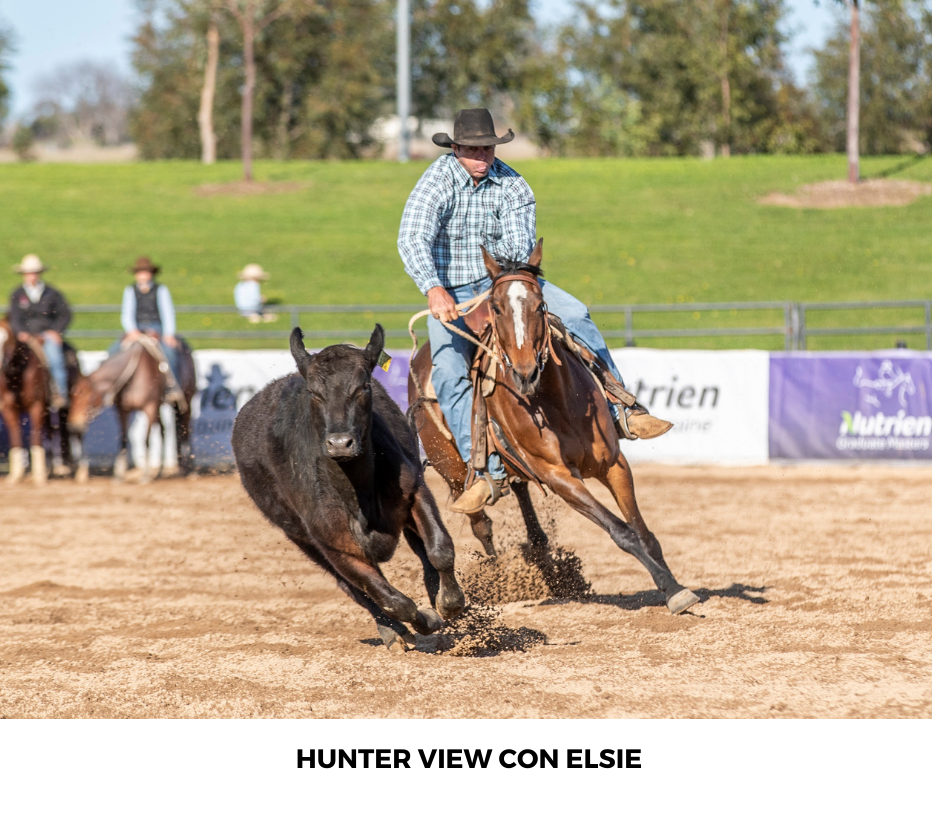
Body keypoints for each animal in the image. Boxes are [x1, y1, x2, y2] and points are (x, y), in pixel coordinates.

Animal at [68, 335, 196, 481]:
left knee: (186, 431)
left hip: (185, 400)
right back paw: (161, 471)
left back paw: (190, 469)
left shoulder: (150, 408)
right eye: (71, 396)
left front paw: (145, 474)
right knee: (164, 431)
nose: (73, 425)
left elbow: (146, 440)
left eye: (85, 395)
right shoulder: (122, 410)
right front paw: (119, 473)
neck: (135, 376)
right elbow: (123, 437)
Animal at [232, 325, 465, 651]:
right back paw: (393, 632)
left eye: (363, 387)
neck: (357, 493)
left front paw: (448, 601)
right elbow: (389, 599)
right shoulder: (331, 543)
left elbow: (439, 549)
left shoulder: (415, 491)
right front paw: (424, 621)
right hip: (302, 538)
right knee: (355, 589)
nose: (340, 443)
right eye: (314, 392)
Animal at [408, 240, 700, 615]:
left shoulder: (614, 464)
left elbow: (643, 531)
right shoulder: (559, 476)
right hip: (454, 472)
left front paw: (674, 587)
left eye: (540, 305)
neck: (556, 402)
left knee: (520, 497)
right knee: (480, 523)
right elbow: (622, 532)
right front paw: (668, 585)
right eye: (497, 308)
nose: (525, 373)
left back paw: (541, 558)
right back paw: (493, 576)